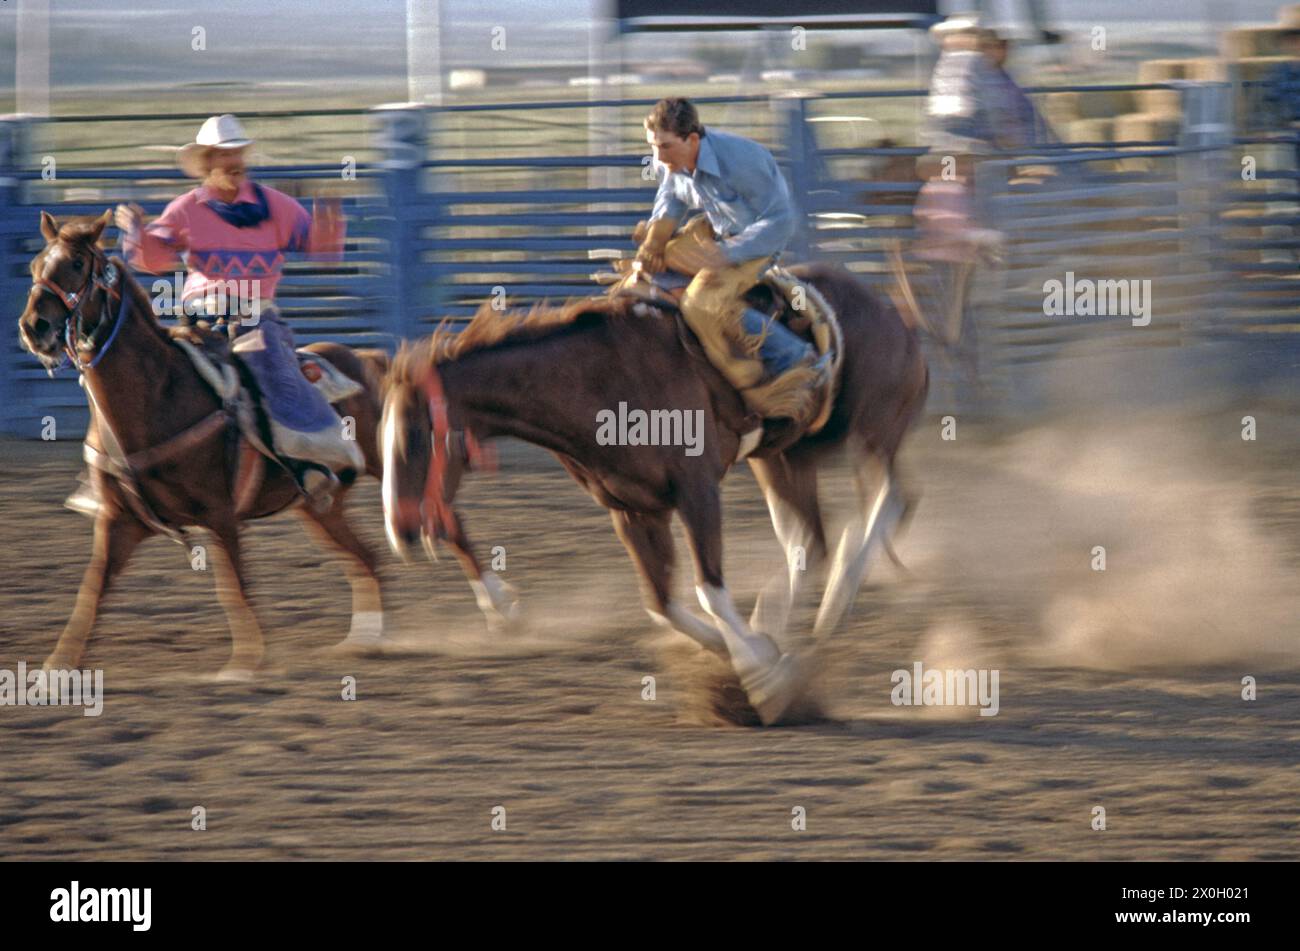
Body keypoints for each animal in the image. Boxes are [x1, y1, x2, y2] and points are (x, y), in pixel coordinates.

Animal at [15, 211, 392, 680]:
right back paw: (364, 642)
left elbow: (233, 586)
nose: (33, 327)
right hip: (319, 507)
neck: (159, 395)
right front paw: (55, 669)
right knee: (366, 558)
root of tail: (364, 359)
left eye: (78, 264)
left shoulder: (220, 514)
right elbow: (92, 589)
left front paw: (245, 662)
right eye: (35, 266)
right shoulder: (119, 522)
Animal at [379, 263, 930, 722]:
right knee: (811, 542)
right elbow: (662, 603)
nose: (400, 531)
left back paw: (838, 595)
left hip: (872, 430)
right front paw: (747, 651)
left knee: (890, 500)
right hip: (782, 458)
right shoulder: (630, 509)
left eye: (413, 437)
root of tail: (895, 313)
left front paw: (763, 677)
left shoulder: (695, 489)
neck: (601, 381)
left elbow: (709, 590)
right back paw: (797, 615)